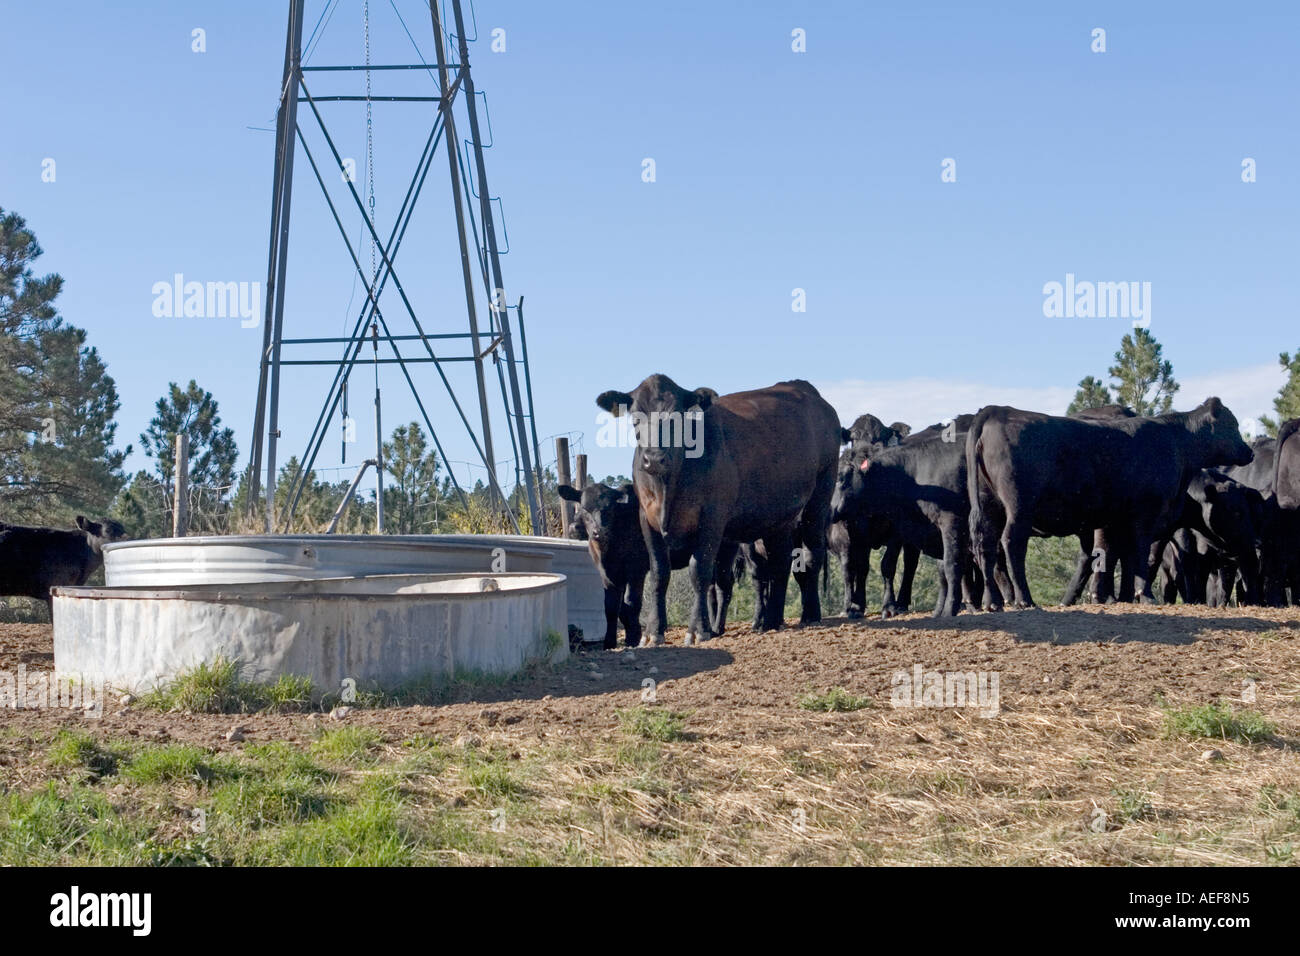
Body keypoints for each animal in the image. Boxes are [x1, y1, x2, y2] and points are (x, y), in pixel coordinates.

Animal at [557, 481, 739, 648]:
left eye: (609, 508)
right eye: (584, 509)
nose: (598, 532)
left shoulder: (636, 568)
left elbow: (632, 602)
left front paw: (633, 638)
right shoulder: (608, 573)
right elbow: (611, 607)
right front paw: (609, 643)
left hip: (725, 552)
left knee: (724, 587)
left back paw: (717, 628)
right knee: (710, 588)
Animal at [595, 375, 841, 645]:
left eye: (678, 417)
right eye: (636, 417)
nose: (654, 459)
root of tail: (805, 388)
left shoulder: (712, 519)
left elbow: (700, 571)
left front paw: (698, 629)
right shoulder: (647, 519)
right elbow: (659, 573)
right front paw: (653, 632)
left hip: (819, 498)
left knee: (812, 553)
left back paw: (810, 614)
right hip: (780, 517)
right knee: (780, 561)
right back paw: (771, 620)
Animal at [967, 398, 1253, 609]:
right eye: (1233, 425)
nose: (1249, 451)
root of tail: (998, 410)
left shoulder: (1120, 520)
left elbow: (1123, 557)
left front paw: (1125, 596)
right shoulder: (1144, 515)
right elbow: (1140, 556)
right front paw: (1144, 595)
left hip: (988, 505)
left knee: (986, 546)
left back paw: (993, 602)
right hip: (1019, 507)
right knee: (1012, 544)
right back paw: (1024, 599)